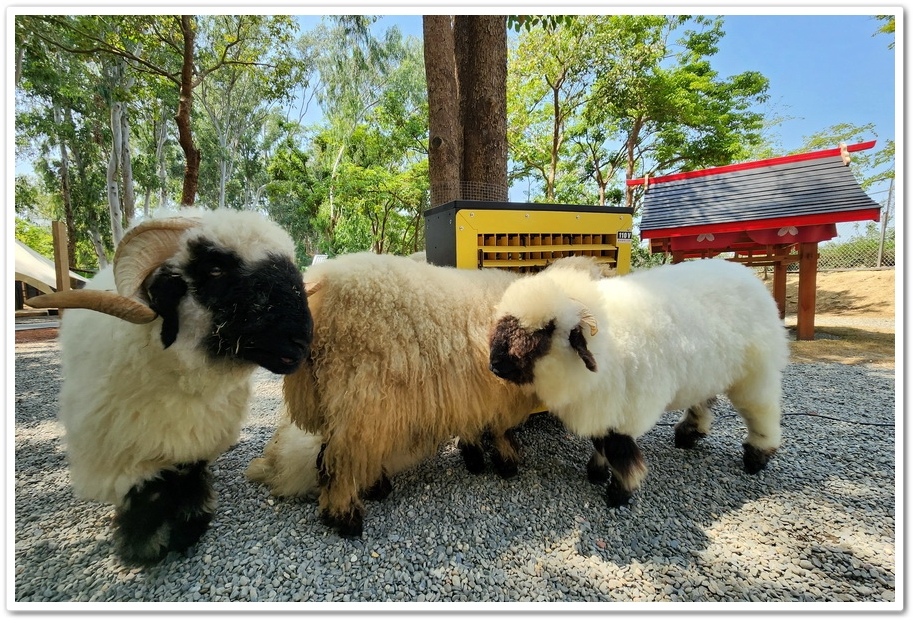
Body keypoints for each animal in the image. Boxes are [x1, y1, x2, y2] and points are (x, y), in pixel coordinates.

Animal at [26, 208, 314, 564]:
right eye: (215, 269)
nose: (302, 342)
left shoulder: (195, 441)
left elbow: (188, 478)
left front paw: (189, 520)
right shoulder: (121, 450)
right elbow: (145, 494)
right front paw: (145, 538)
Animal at [490, 258, 792, 508]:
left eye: (546, 330)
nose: (494, 365)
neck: (606, 340)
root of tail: (745, 273)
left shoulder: (626, 411)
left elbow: (618, 450)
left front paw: (619, 493)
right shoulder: (603, 406)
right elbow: (600, 442)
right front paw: (597, 473)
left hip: (755, 373)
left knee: (762, 412)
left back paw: (757, 457)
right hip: (705, 371)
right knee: (702, 400)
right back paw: (689, 434)